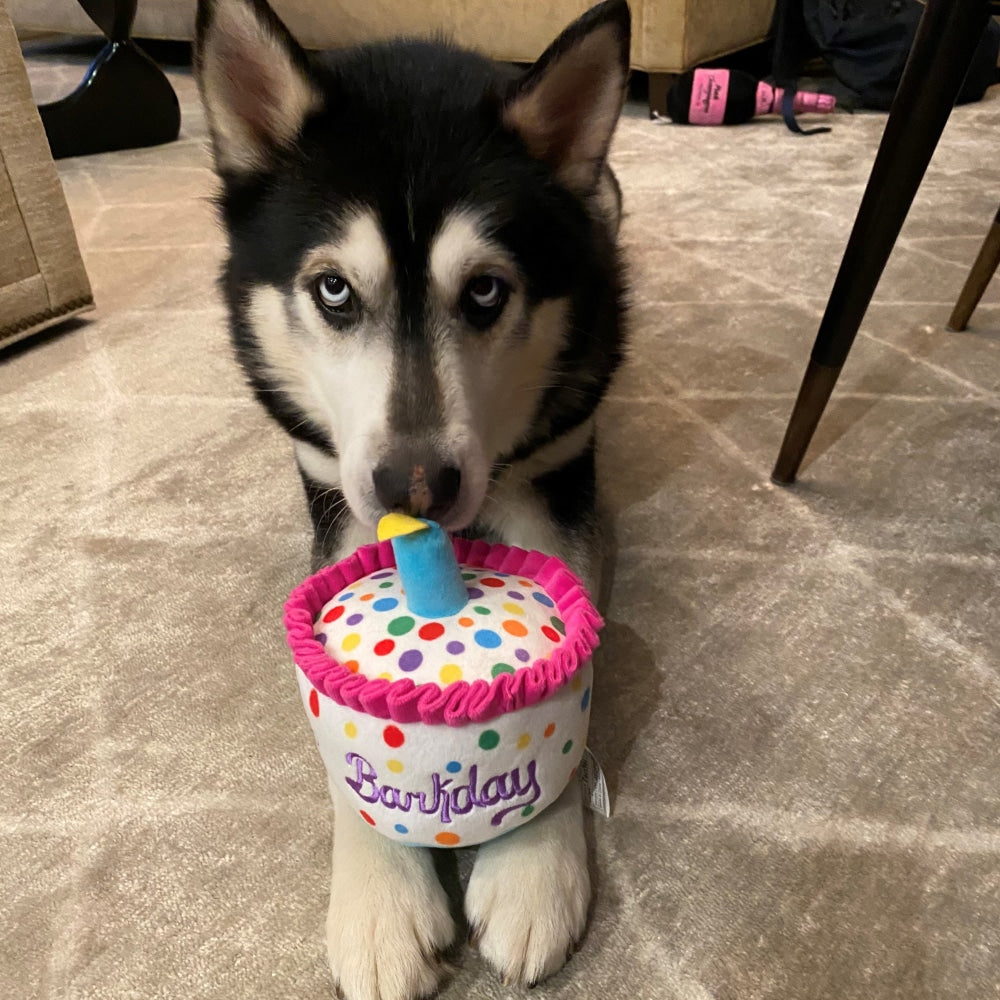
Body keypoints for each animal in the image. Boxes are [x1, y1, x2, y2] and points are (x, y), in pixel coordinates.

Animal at [196, 0, 628, 996]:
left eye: (486, 291)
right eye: (333, 289)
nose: (418, 488)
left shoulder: (555, 476)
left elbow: (570, 666)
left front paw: (533, 864)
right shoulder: (338, 495)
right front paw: (379, 898)